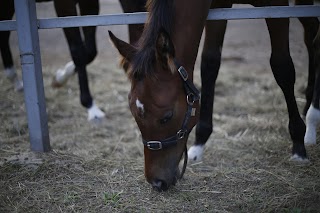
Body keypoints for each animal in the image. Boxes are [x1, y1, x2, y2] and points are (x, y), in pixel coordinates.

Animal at [0, 0, 146, 121]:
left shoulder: (89, 3)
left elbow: (90, 51)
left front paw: (59, 78)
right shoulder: (64, 5)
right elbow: (78, 52)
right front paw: (90, 107)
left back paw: (16, 81)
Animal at [110, 0, 320, 191]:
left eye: (167, 117)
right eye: (134, 113)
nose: (156, 182)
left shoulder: (277, 10)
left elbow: (282, 67)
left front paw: (298, 145)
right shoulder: (218, 7)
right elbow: (210, 64)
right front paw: (200, 142)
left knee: (313, 37)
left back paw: (311, 120)